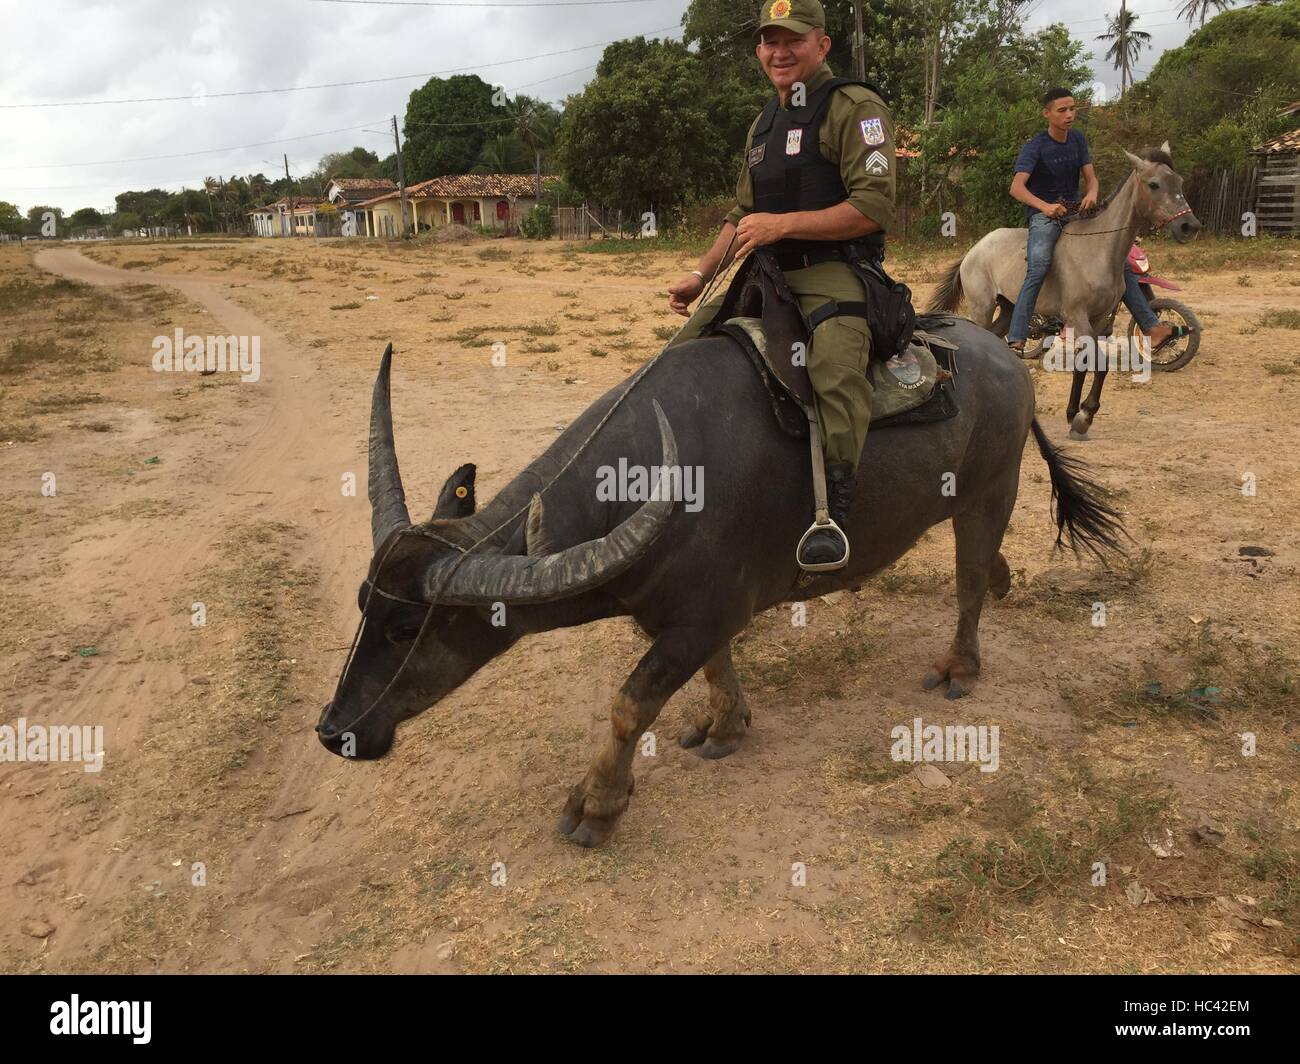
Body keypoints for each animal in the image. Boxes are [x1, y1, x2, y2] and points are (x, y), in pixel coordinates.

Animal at [317, 327, 1128, 842]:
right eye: (364, 606)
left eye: (407, 628)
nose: (335, 731)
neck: (652, 483)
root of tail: (1005, 357)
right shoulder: (692, 616)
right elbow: (713, 670)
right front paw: (725, 726)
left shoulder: (701, 616)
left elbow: (629, 705)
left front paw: (597, 804)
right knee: (983, 568)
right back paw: (1004, 580)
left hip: (989, 491)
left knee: (964, 581)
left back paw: (960, 662)